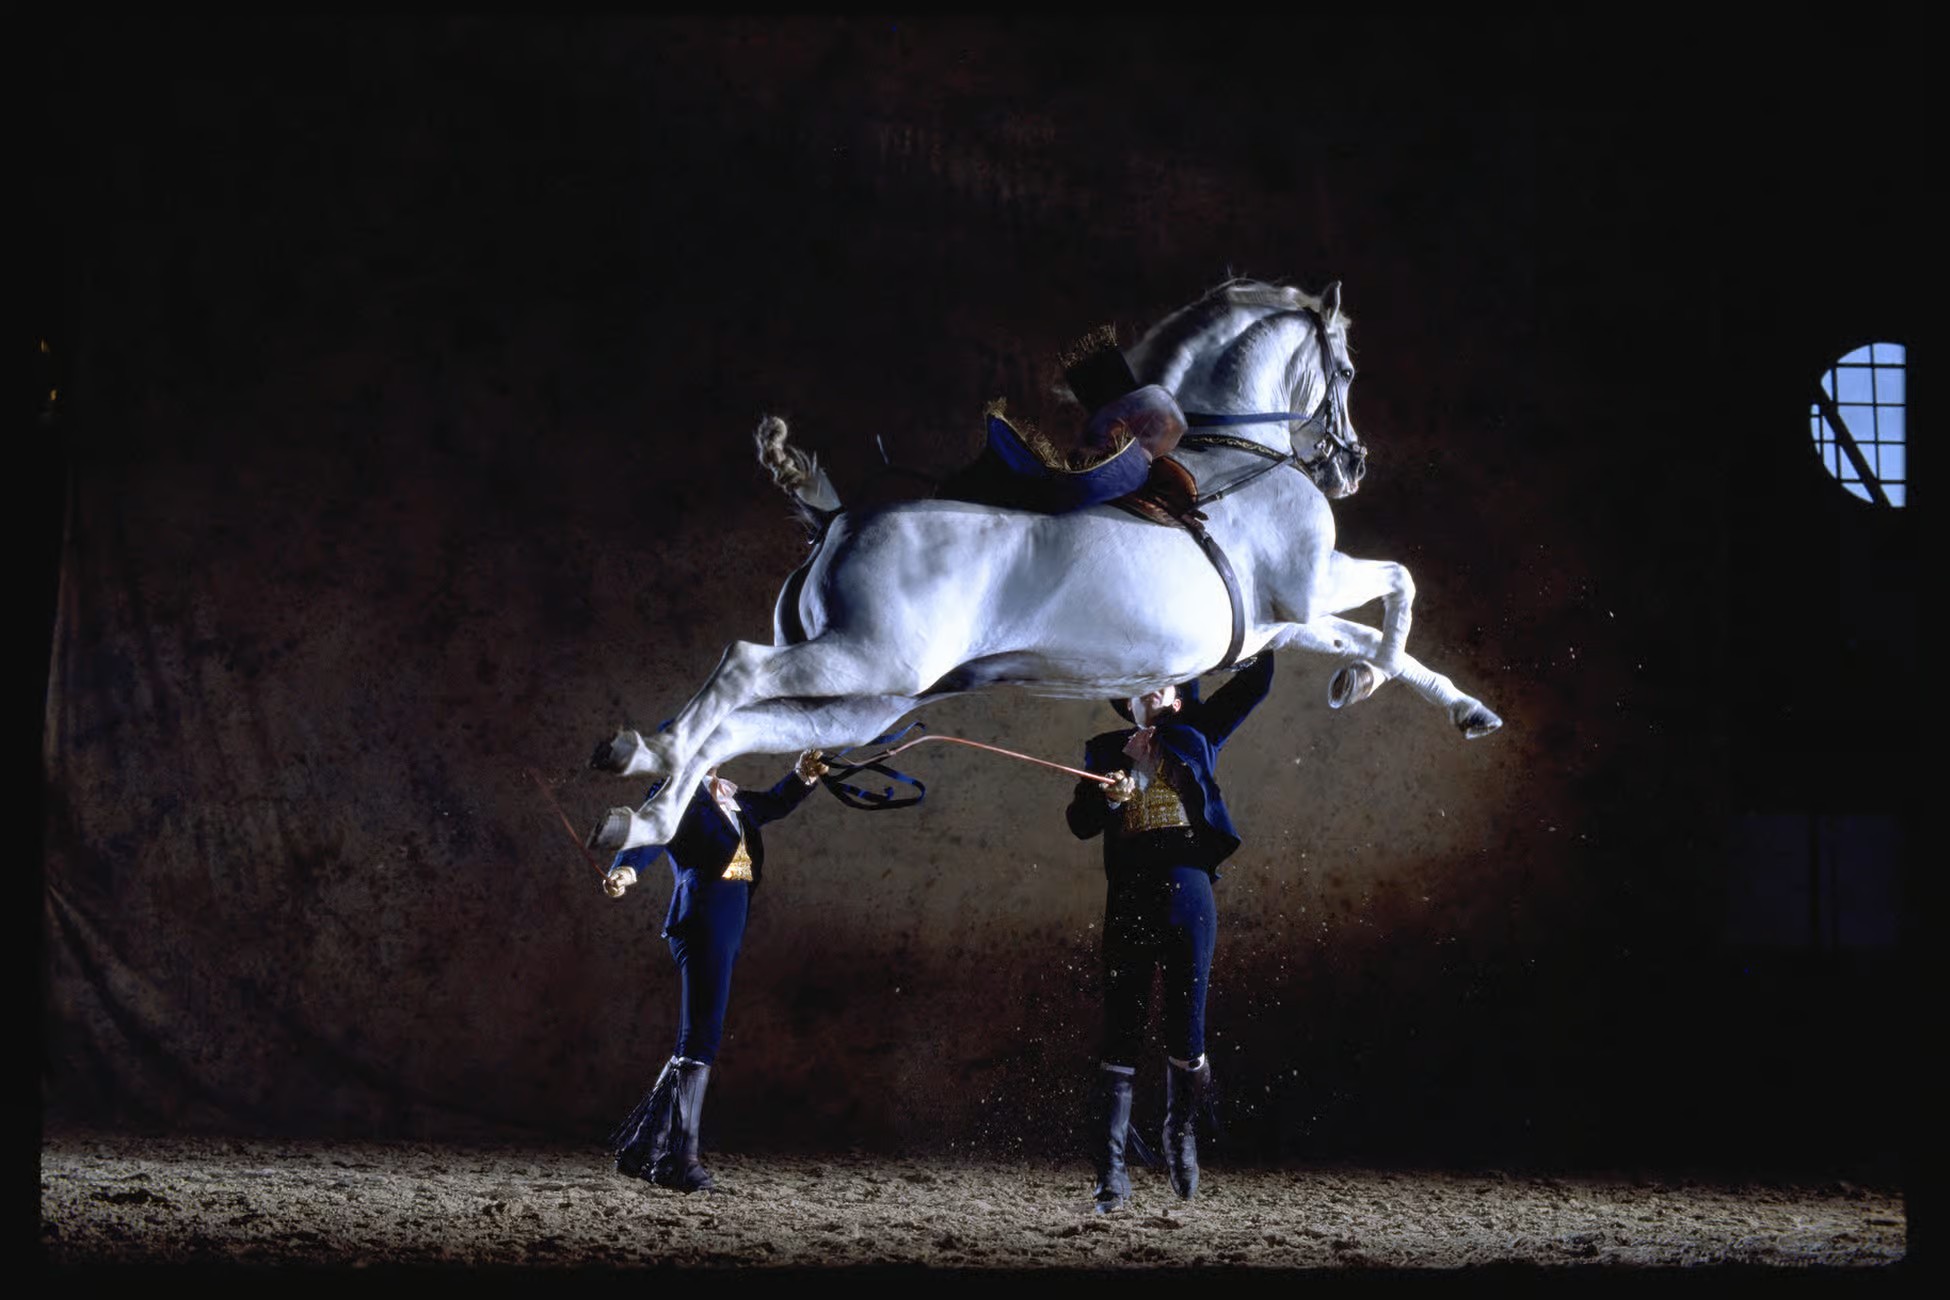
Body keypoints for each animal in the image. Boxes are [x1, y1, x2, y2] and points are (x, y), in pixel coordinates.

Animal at [587, 278, 1502, 853]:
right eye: (1344, 369)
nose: (1352, 466)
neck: (1233, 455)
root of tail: (835, 518)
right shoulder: (1314, 585)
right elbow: (1400, 585)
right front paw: (1365, 681)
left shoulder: (1281, 623)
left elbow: (1373, 636)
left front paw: (1452, 705)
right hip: (865, 660)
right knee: (739, 671)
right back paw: (647, 756)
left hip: (865, 705)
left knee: (739, 728)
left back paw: (641, 814)